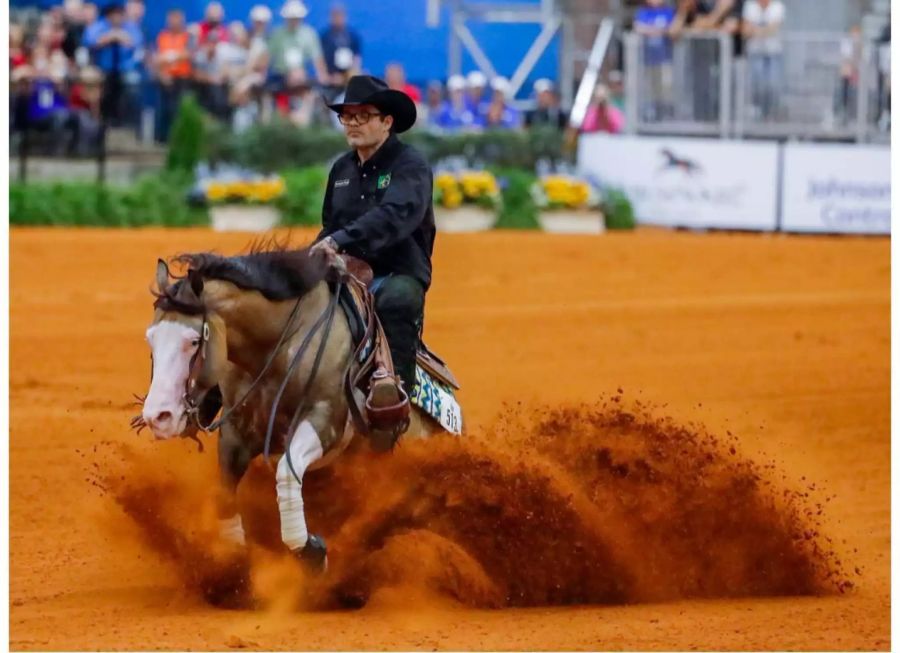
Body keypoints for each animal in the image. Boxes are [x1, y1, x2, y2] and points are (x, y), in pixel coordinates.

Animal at [137, 244, 460, 564]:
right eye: (150, 338)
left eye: (193, 340)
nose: (158, 416)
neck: (277, 346)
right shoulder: (236, 430)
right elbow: (225, 493)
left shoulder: (325, 422)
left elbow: (286, 471)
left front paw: (310, 551)